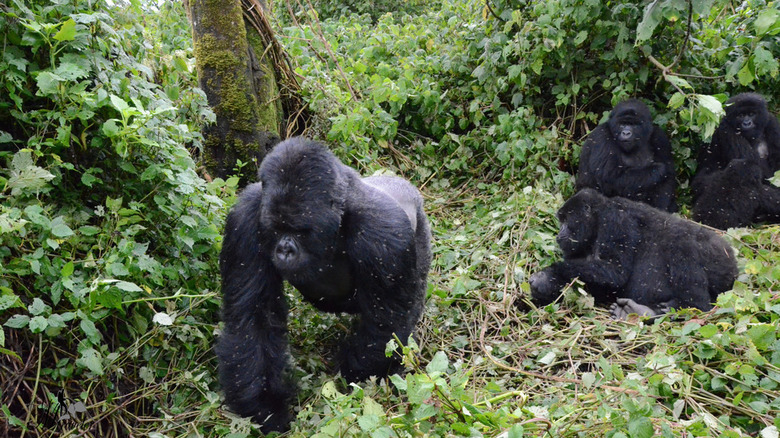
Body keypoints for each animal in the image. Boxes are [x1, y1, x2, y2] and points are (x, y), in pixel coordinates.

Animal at [215, 137, 432, 432]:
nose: (284, 250)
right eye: (277, 228)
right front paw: (267, 406)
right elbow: (252, 320)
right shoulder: (245, 219)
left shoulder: (384, 235)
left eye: (299, 231)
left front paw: (354, 379)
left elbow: (384, 325)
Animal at [524, 188, 736, 318]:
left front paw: (547, 275)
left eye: (566, 220)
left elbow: (615, 271)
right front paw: (547, 283)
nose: (559, 235)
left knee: (681, 243)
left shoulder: (616, 218)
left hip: (719, 258)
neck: (597, 220)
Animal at [692, 92, 780, 229]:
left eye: (751, 114)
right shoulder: (719, 131)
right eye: (741, 115)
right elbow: (702, 178)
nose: (747, 123)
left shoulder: (772, 124)